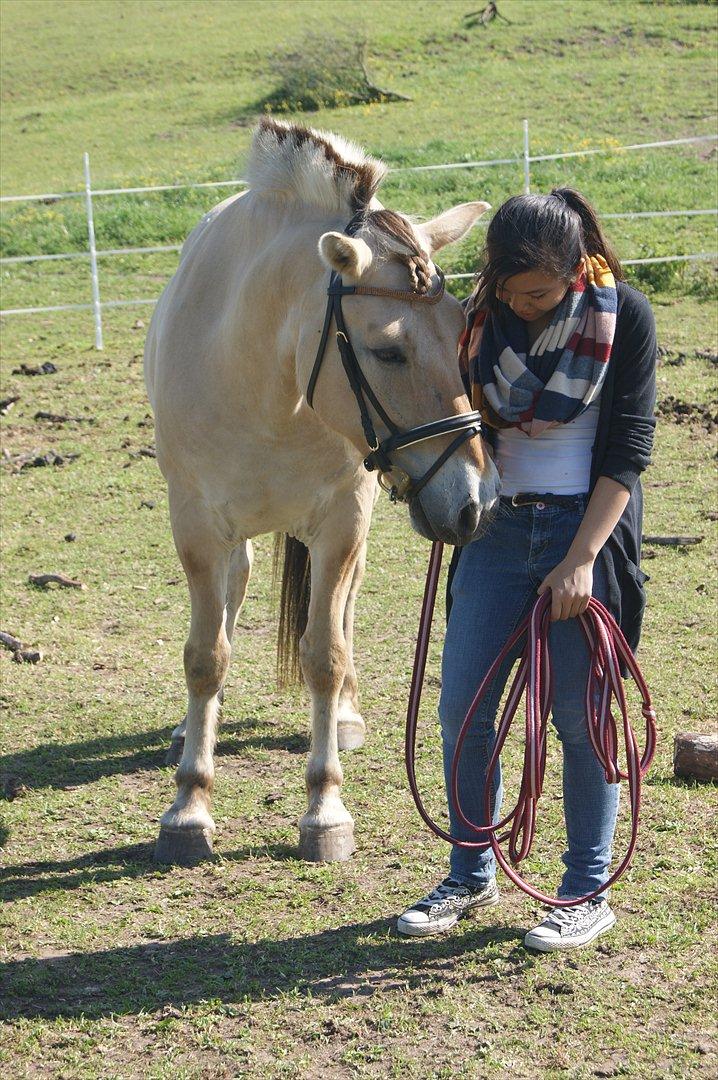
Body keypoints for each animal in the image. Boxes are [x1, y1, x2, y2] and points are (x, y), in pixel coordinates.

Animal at [142, 116, 496, 868]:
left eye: (462, 335)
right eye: (388, 351)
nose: (477, 502)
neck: (263, 377)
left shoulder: (341, 523)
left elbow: (325, 654)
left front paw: (325, 809)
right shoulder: (196, 528)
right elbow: (205, 657)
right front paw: (189, 805)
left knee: (342, 614)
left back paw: (346, 715)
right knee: (233, 595)